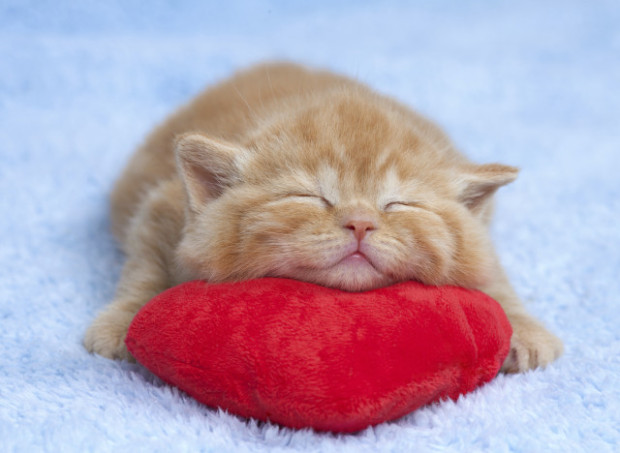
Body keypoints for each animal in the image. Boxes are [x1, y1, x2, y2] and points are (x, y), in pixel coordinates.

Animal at [85, 64, 564, 374]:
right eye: (311, 197)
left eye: (396, 204)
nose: (360, 223)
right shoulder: (161, 206)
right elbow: (144, 266)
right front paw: (123, 321)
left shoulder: (480, 236)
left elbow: (491, 272)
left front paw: (524, 330)